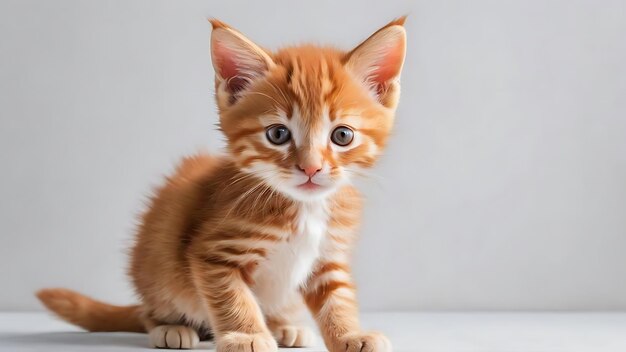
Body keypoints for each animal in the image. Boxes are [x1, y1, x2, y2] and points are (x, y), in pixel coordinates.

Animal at [35, 17, 404, 352]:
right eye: (278, 134)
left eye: (342, 135)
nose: (311, 167)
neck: (304, 207)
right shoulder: (213, 253)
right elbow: (233, 297)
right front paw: (247, 335)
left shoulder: (328, 257)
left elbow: (337, 299)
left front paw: (349, 335)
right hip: (156, 262)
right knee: (149, 310)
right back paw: (169, 328)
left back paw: (283, 326)